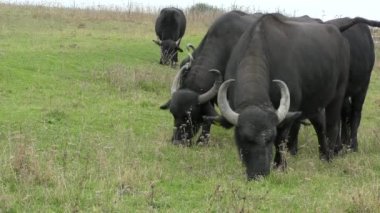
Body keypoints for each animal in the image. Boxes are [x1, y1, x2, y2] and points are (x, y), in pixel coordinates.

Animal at [217, 13, 350, 180]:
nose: (259, 174)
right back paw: (323, 155)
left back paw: (330, 156)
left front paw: (280, 165)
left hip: (338, 93)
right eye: (244, 138)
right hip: (314, 104)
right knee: (320, 124)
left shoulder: (289, 110)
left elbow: (281, 139)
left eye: (269, 138)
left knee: (332, 125)